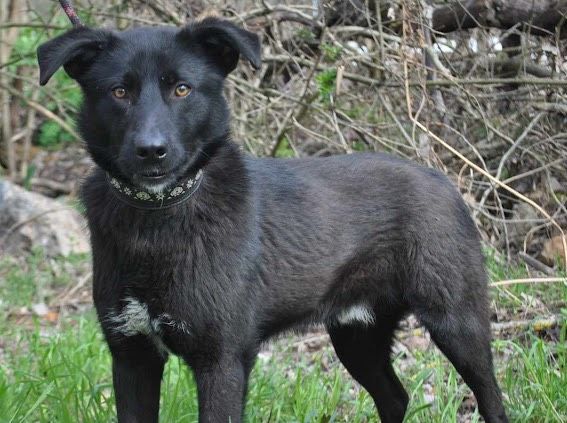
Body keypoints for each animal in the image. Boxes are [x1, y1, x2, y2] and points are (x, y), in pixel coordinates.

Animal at [38, 17, 510, 423]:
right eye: (119, 92)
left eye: (183, 89)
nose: (151, 151)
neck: (158, 217)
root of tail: (442, 179)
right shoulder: (132, 355)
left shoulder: (222, 362)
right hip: (357, 334)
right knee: (395, 397)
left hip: (456, 323)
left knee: (491, 397)